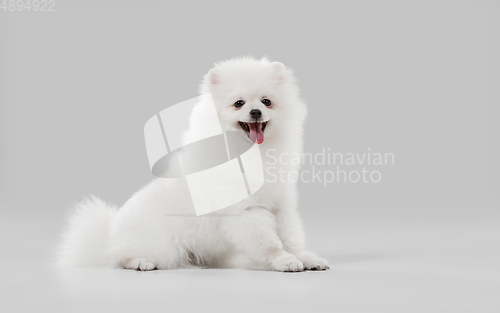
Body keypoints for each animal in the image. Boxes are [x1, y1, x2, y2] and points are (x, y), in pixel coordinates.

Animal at [59, 57, 328, 272]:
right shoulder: (246, 211)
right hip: (160, 245)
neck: (253, 153)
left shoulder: (281, 205)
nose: (255, 112)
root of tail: (109, 234)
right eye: (239, 103)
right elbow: (269, 243)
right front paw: (285, 261)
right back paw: (141, 262)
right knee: (121, 257)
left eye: (267, 101)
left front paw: (306, 258)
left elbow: (292, 237)